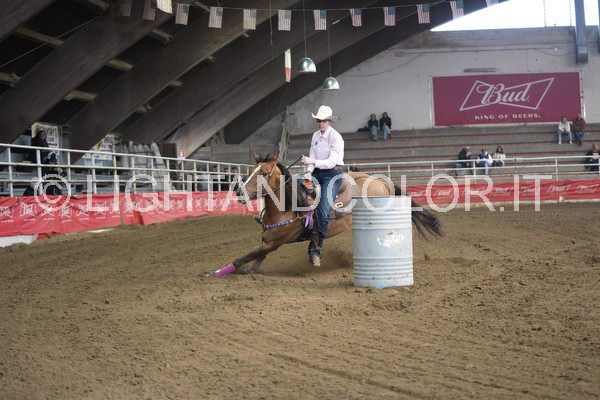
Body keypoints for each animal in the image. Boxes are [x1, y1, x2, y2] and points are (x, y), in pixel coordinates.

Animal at [208, 152, 445, 278]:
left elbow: (243, 257)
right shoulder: (268, 241)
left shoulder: (273, 243)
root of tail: (379, 180)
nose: (239, 192)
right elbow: (256, 259)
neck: (288, 206)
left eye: (264, 173)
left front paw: (217, 273)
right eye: (250, 172)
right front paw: (249, 271)